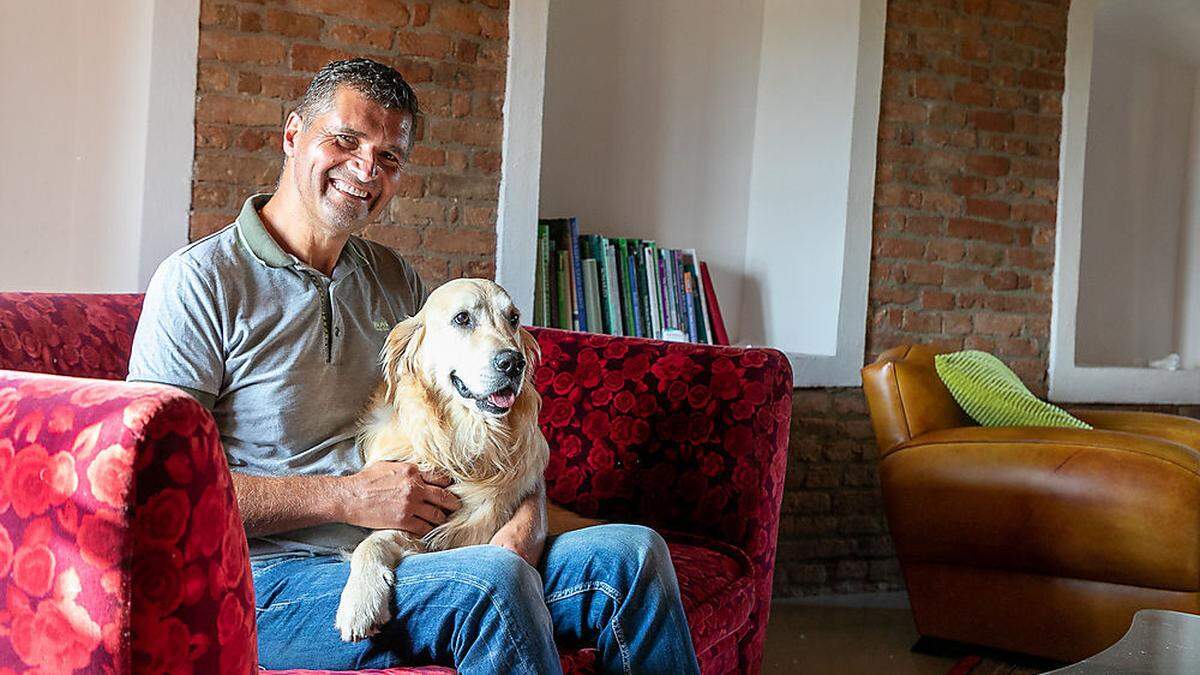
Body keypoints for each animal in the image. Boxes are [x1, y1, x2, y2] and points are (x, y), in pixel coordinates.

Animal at [333, 278, 549, 638]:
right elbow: (371, 544)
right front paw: (361, 601)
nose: (513, 363)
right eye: (462, 318)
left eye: (514, 319)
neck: (469, 441)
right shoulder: (412, 520)